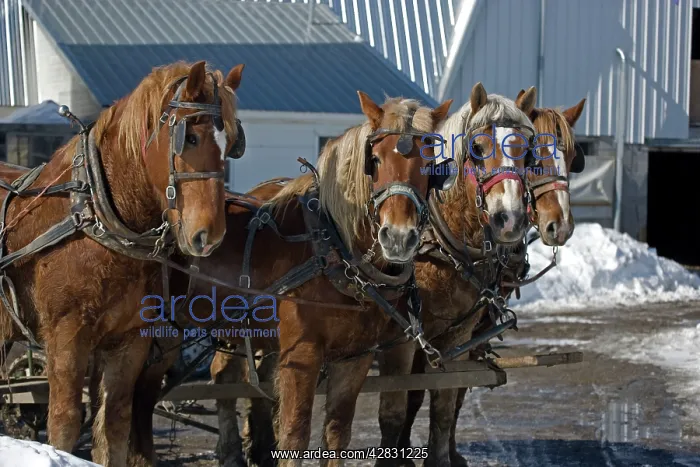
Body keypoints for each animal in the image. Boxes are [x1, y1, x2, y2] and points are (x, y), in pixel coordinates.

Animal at [0, 60, 246, 466]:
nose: (209, 235)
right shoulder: (66, 337)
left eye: (232, 145)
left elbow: (114, 425)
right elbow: (65, 423)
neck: (99, 217)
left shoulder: (130, 341)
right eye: (191, 138)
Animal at [123, 92, 454, 466]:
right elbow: (295, 435)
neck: (334, 247)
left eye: (430, 164)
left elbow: (337, 434)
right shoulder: (301, 355)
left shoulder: (354, 358)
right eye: (375, 159)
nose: (398, 237)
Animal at [385, 92, 588, 467]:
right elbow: (412, 392)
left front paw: (449, 452)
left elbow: (453, 394)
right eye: (536, 157)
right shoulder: (411, 333)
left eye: (571, 157)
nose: (561, 226)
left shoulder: (471, 330)